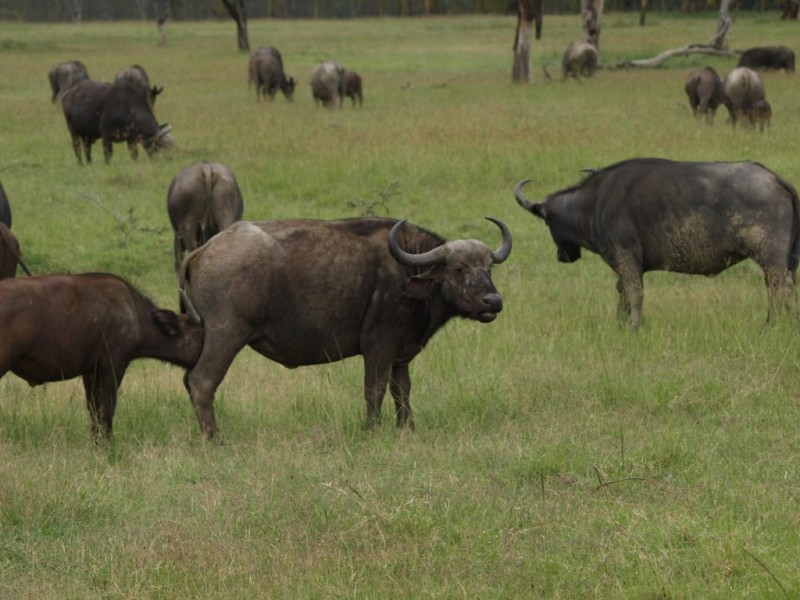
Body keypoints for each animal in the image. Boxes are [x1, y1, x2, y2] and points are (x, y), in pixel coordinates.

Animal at [0, 274, 205, 438]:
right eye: (199, 335)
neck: (134, 313)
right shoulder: (113, 365)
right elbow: (107, 407)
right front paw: (107, 444)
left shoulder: (90, 371)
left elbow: (93, 408)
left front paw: (95, 441)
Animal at [178, 214, 510, 436]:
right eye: (458, 268)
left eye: (488, 267)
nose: (493, 301)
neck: (406, 273)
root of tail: (202, 251)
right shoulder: (378, 348)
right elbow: (374, 391)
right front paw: (372, 429)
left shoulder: (400, 356)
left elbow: (402, 391)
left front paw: (407, 428)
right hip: (227, 334)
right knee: (202, 381)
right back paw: (213, 437)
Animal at [516, 157, 796, 330]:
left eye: (547, 222)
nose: (563, 256)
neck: (595, 203)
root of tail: (773, 177)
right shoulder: (626, 266)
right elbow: (623, 294)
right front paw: (621, 324)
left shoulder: (626, 257)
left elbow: (635, 293)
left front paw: (633, 327)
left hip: (772, 262)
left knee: (779, 291)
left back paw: (771, 326)